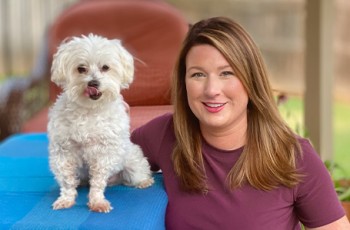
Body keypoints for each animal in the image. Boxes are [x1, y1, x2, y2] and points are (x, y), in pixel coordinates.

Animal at [47, 34, 153, 214]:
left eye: (105, 67)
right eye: (81, 68)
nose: (93, 83)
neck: (89, 109)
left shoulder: (105, 152)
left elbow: (97, 180)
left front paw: (97, 201)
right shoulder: (63, 151)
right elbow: (67, 181)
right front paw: (66, 199)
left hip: (132, 161)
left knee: (138, 171)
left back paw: (144, 181)